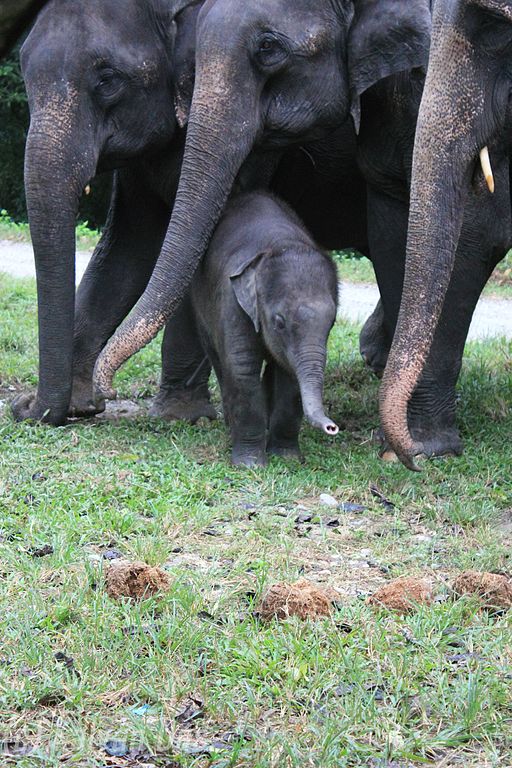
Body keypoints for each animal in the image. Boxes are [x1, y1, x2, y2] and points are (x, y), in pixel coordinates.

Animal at [11, 0, 217, 426]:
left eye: (107, 80)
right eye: (24, 72)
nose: (21, 407)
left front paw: (178, 416)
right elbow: (129, 246)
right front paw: (79, 406)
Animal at [191, 191, 339, 466]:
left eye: (332, 323)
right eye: (279, 322)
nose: (332, 428)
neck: (279, 243)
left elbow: (290, 375)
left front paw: (288, 458)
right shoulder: (233, 303)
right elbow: (242, 368)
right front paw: (249, 465)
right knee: (218, 358)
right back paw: (230, 426)